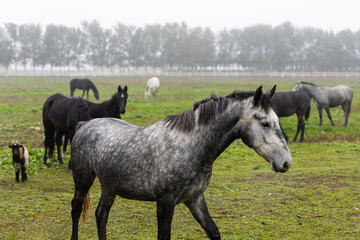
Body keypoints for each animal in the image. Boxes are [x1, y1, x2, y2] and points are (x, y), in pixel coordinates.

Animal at [68, 85, 292, 239]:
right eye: (265, 123)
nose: (286, 162)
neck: (190, 147)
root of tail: (84, 125)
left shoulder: (195, 199)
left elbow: (213, 231)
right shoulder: (165, 202)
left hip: (109, 186)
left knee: (101, 215)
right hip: (83, 180)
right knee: (76, 209)